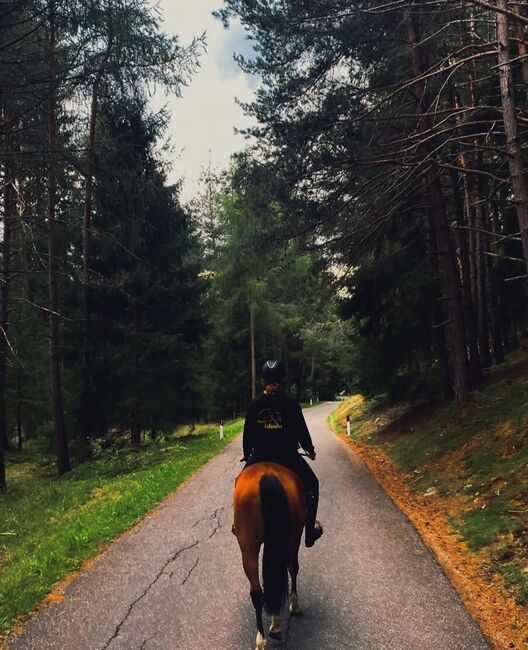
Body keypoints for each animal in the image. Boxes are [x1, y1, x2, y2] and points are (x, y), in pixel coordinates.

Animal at [232, 460, 304, 648]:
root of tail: (268, 476)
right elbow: (292, 568)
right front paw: (294, 605)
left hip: (248, 546)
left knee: (257, 592)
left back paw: (262, 638)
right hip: (292, 536)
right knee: (290, 567)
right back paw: (277, 625)